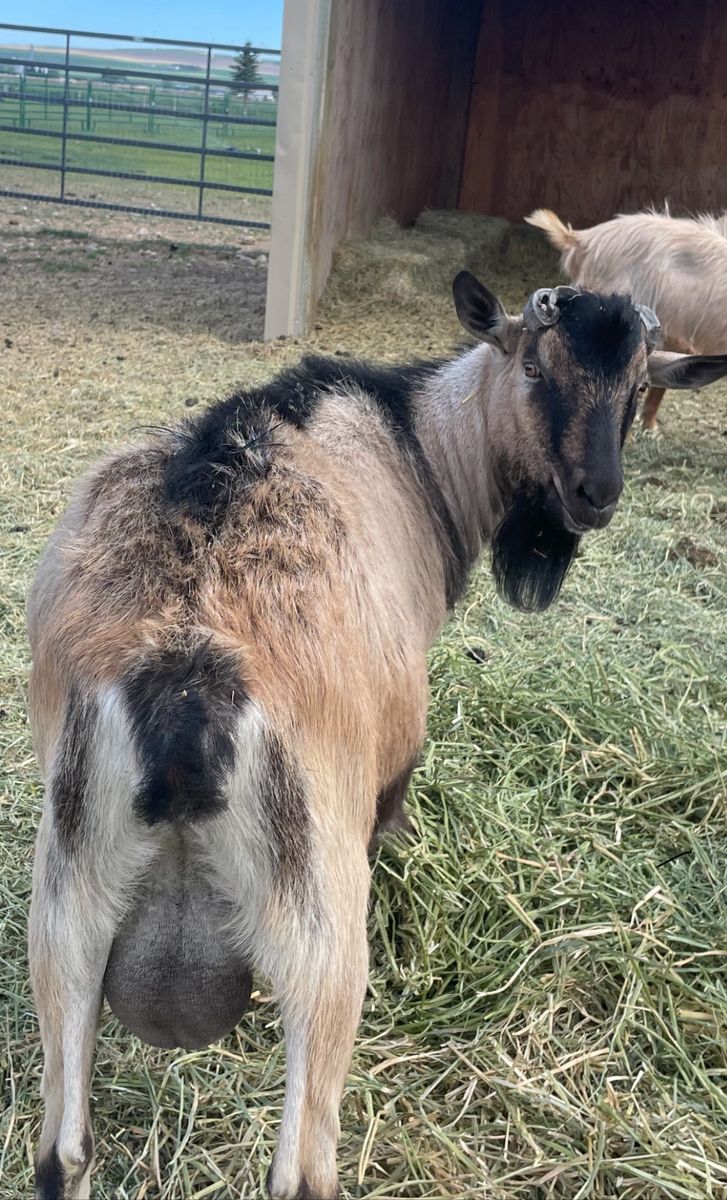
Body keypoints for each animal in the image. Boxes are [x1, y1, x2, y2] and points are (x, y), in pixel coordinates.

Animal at [27, 275, 727, 1200]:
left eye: (639, 381)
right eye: (535, 368)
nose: (594, 494)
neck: (415, 444)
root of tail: (180, 696)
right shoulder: (388, 775)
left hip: (63, 911)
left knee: (62, 1153)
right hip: (319, 925)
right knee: (302, 1168)